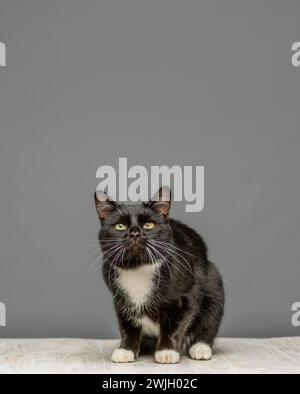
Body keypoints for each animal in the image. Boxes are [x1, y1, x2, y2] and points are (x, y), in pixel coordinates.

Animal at [95, 186, 224, 364]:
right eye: (120, 226)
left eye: (149, 225)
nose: (135, 233)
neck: (137, 270)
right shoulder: (120, 299)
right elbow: (128, 326)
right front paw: (126, 349)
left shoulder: (186, 296)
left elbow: (173, 326)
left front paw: (167, 351)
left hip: (213, 280)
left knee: (209, 319)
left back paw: (200, 347)